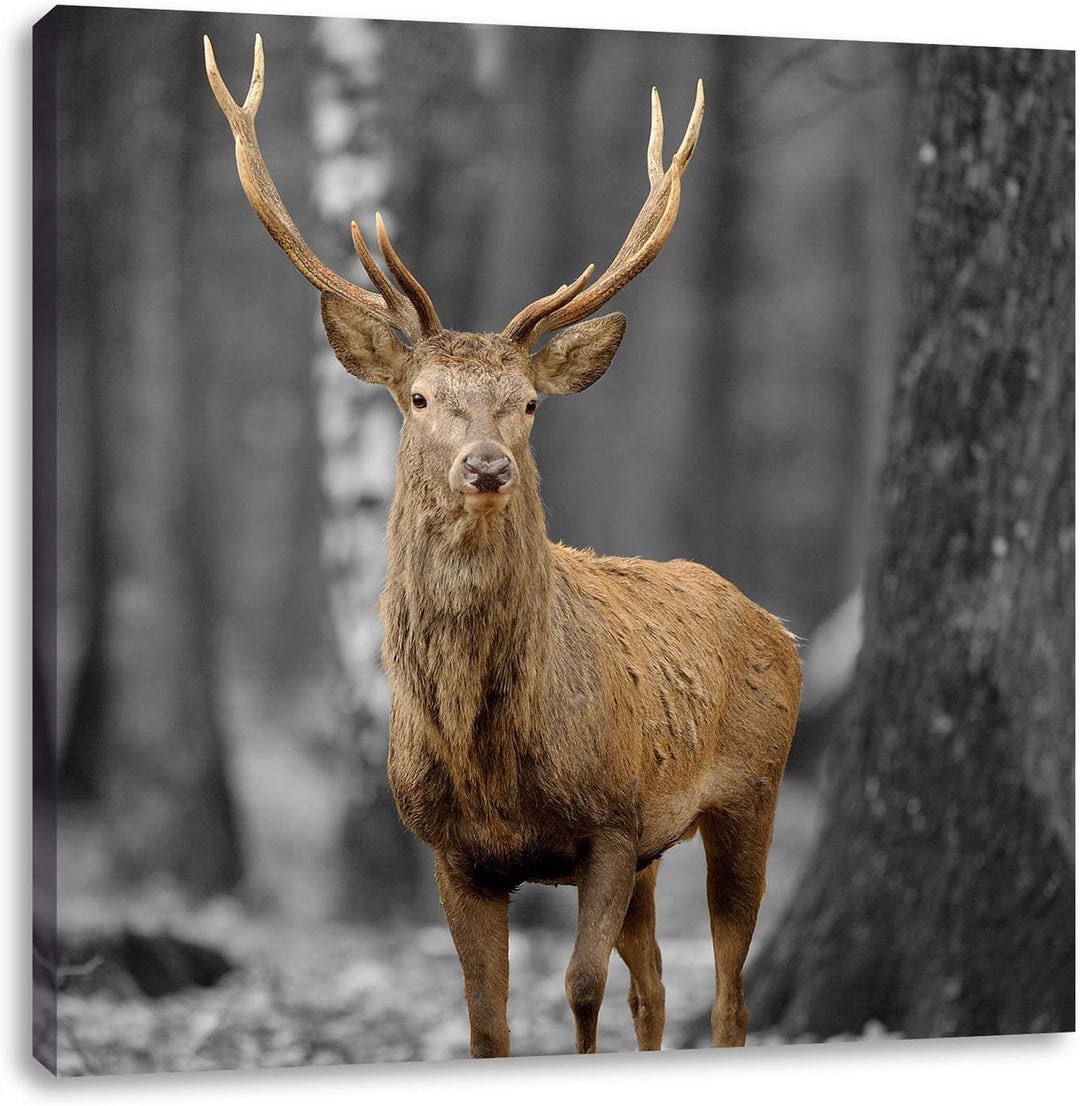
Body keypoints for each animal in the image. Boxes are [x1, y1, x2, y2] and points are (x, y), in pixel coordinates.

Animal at [205, 34, 801, 1058]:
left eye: (527, 404)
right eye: (419, 397)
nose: (486, 466)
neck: (492, 756)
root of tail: (781, 629)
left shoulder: (610, 823)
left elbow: (581, 991)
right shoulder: (455, 851)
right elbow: (487, 1022)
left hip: (750, 793)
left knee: (727, 994)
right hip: (660, 847)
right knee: (658, 989)